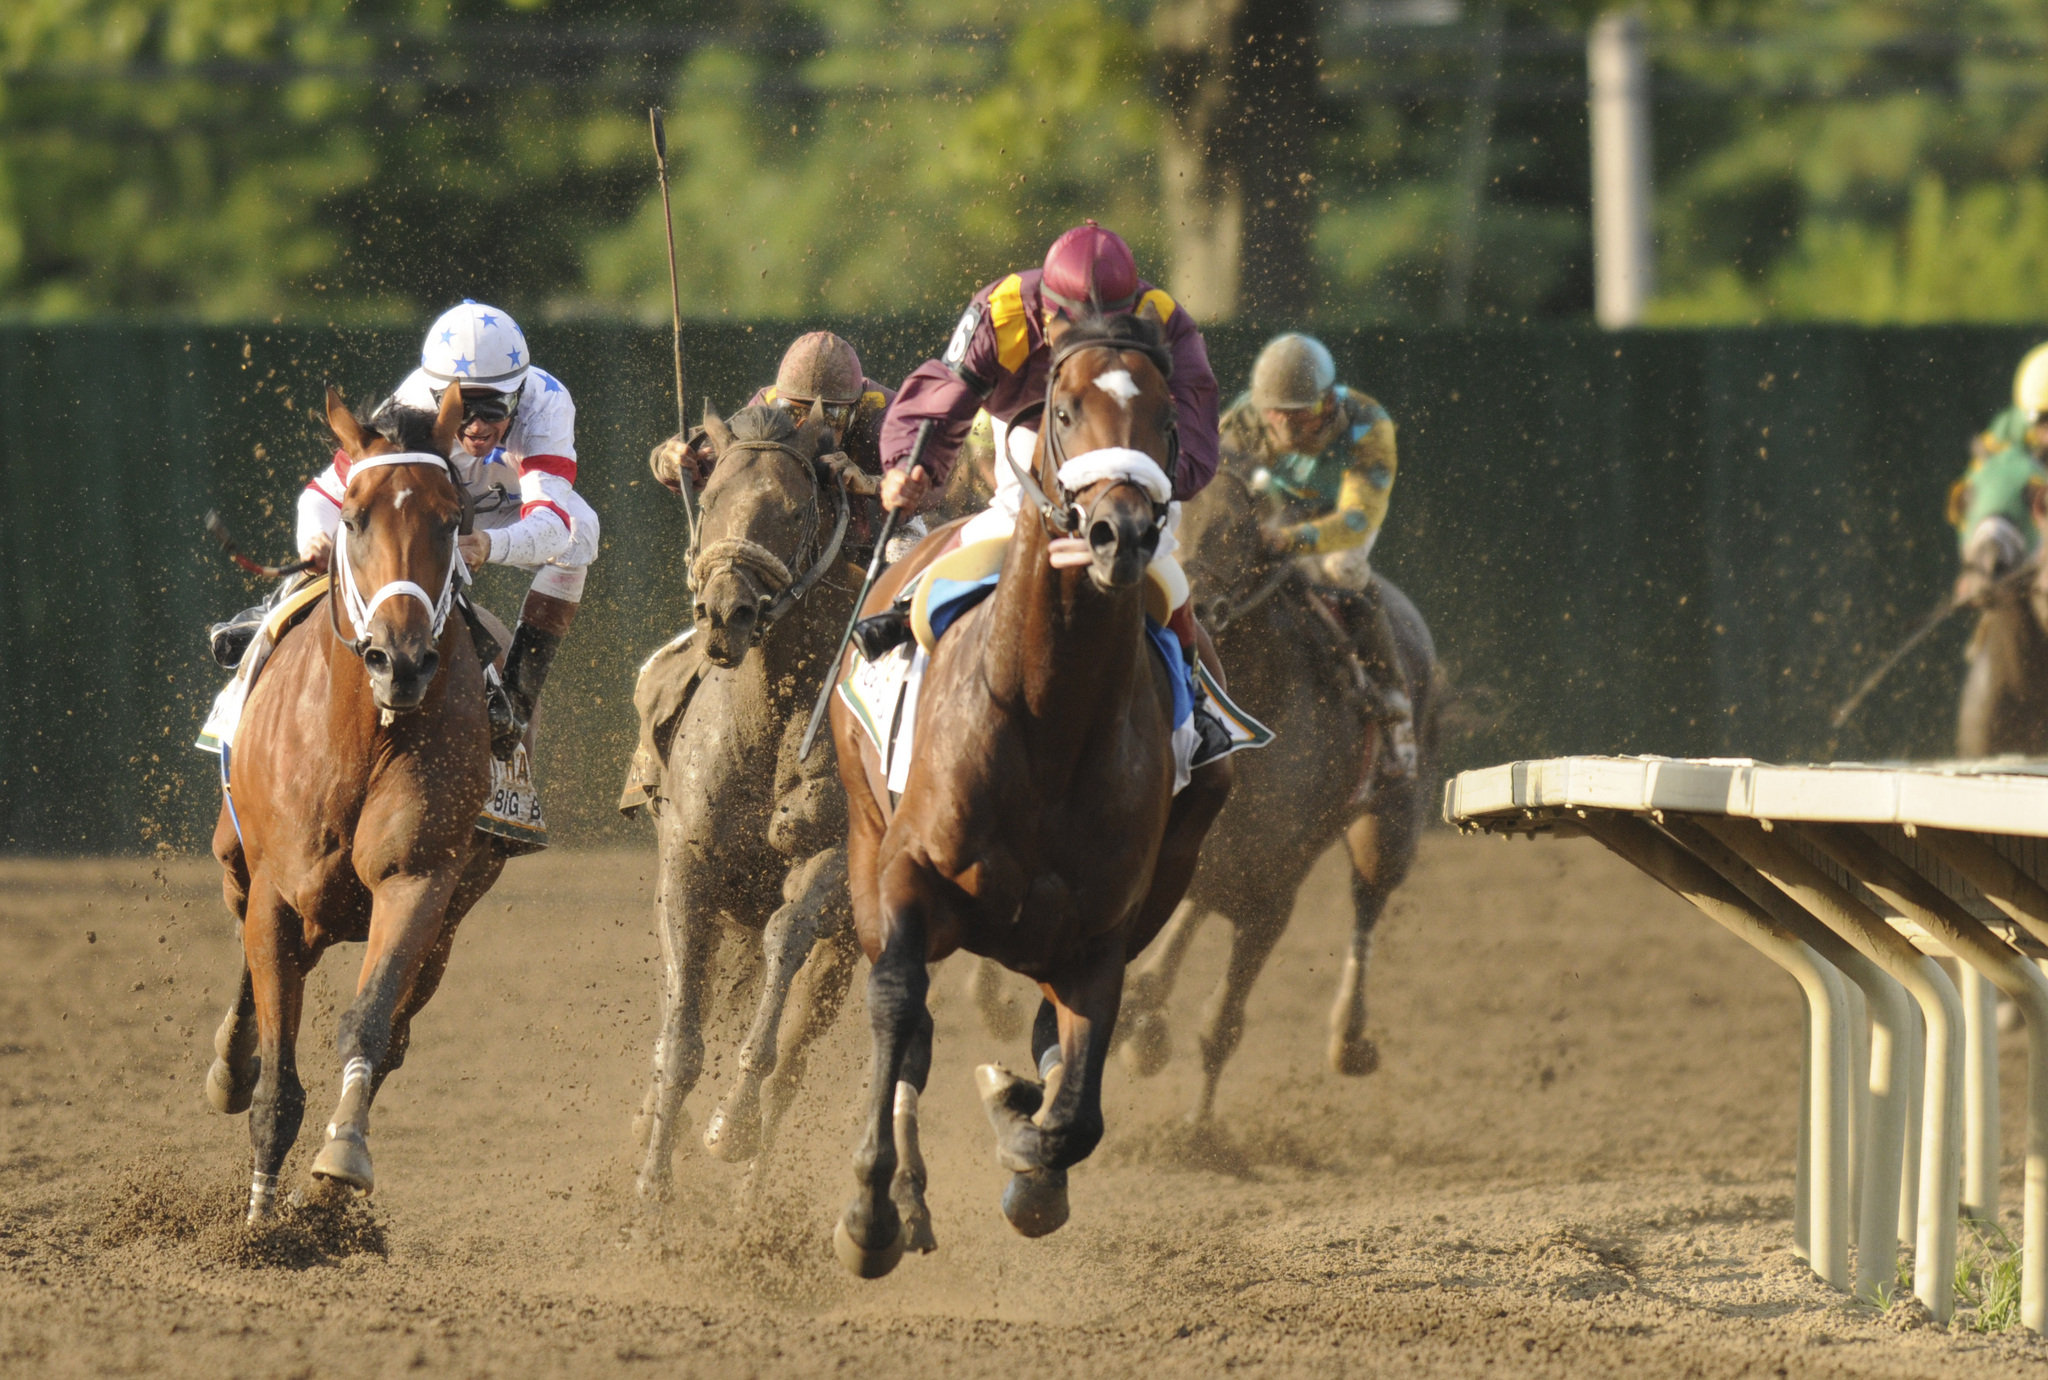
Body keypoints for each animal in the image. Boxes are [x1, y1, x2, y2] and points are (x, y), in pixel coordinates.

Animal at [204, 380, 512, 1220]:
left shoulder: (419, 879)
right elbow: (277, 1090)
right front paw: (257, 1226)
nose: (398, 659)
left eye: (451, 518)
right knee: (245, 953)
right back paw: (230, 1064)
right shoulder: (277, 891)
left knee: (398, 1025)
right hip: (237, 861)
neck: (358, 739)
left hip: (449, 918)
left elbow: (370, 1025)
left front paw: (341, 1157)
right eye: (353, 514)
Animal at [626, 397, 860, 1195]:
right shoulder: (689, 872)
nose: (724, 612)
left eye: (792, 510)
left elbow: (787, 940)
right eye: (712, 498)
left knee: (793, 1064)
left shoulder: (831, 866)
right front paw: (652, 1191)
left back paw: (751, 1203)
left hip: (849, 949)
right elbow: (679, 1039)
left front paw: (731, 1125)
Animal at [819, 307, 1228, 1277]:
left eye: (1166, 420)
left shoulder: (1103, 933)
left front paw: (1023, 1138)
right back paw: (908, 1198)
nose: (1121, 532)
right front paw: (871, 1212)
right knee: (912, 1023)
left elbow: (1073, 1111)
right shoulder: (907, 872)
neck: (1049, 717)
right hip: (861, 830)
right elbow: (897, 1005)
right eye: (1065, 410)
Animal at [1105, 464, 1441, 1113]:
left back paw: (1349, 1041)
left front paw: (1200, 1128)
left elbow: (1221, 1025)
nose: (1181, 603)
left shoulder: (1276, 891)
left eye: (1234, 532)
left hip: (1387, 829)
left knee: (1367, 900)